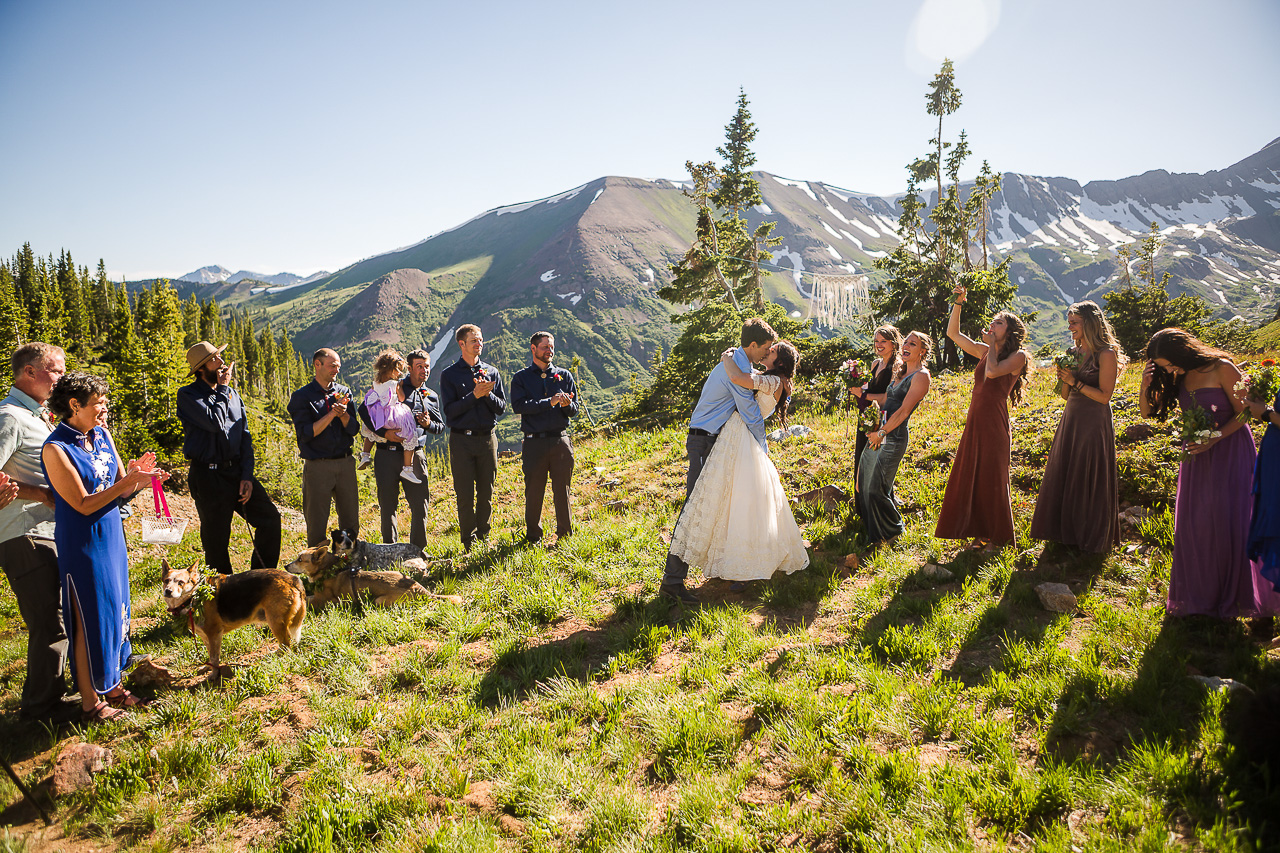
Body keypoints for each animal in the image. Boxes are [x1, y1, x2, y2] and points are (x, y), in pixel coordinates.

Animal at [162, 558, 307, 671]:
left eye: (181, 582)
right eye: (166, 581)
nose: (168, 591)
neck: (194, 597)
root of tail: (293, 578)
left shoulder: (214, 634)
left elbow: (214, 657)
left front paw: (214, 675)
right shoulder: (205, 636)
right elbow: (210, 655)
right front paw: (207, 667)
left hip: (275, 621)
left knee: (286, 643)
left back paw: (278, 657)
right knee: (285, 643)